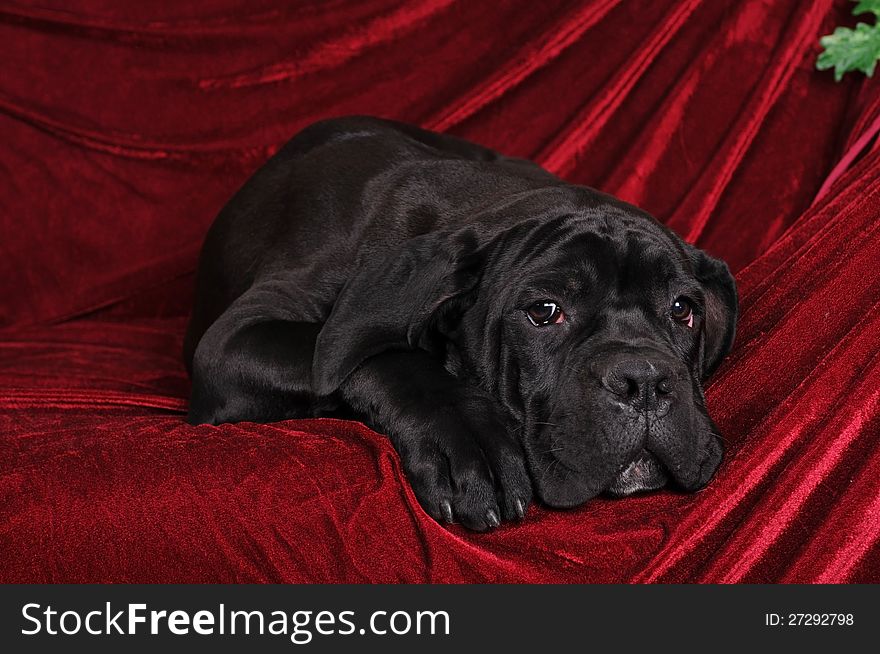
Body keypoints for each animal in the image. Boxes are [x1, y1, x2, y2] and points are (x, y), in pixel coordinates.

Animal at [184, 116, 736, 532]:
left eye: (682, 309)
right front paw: (468, 442)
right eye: (544, 311)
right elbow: (389, 356)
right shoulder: (235, 338)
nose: (644, 380)